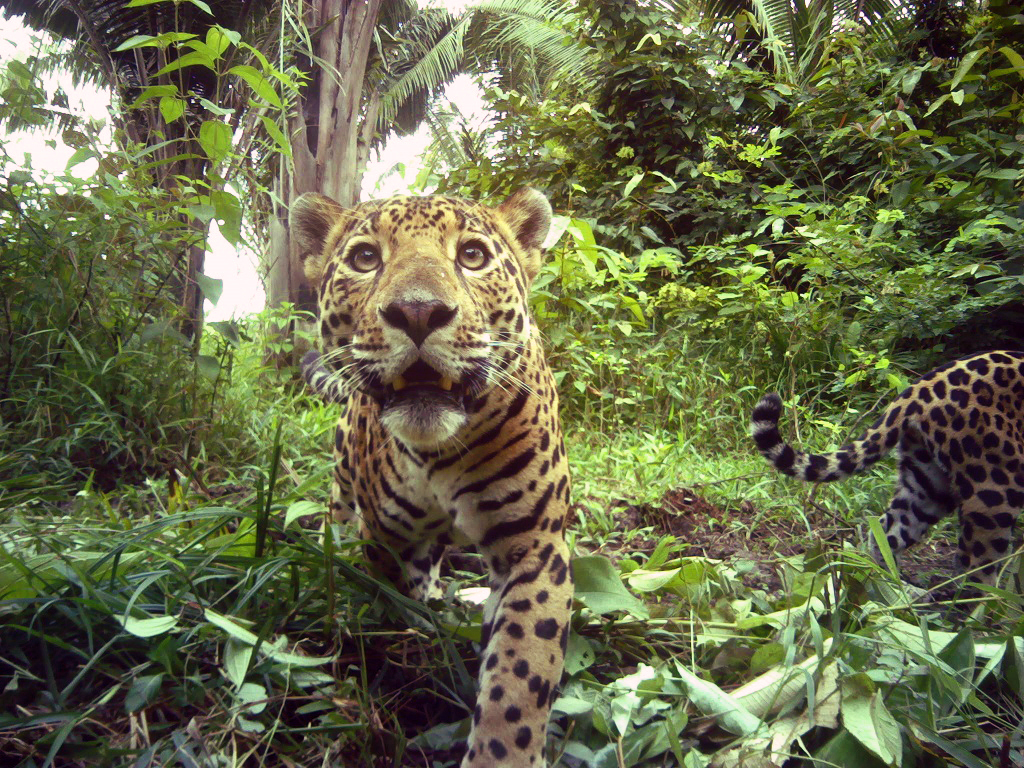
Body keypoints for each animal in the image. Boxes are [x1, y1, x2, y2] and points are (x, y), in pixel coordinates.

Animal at [290, 188, 573, 767]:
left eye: (471, 255)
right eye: (365, 258)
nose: (418, 312)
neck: (439, 451)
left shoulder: (536, 548)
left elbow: (520, 675)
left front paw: (501, 754)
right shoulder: (386, 540)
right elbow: (391, 608)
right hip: (342, 483)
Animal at [751, 350, 1024, 585]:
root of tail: (919, 388)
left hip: (929, 481)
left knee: (887, 531)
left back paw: (888, 589)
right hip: (995, 490)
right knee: (976, 566)